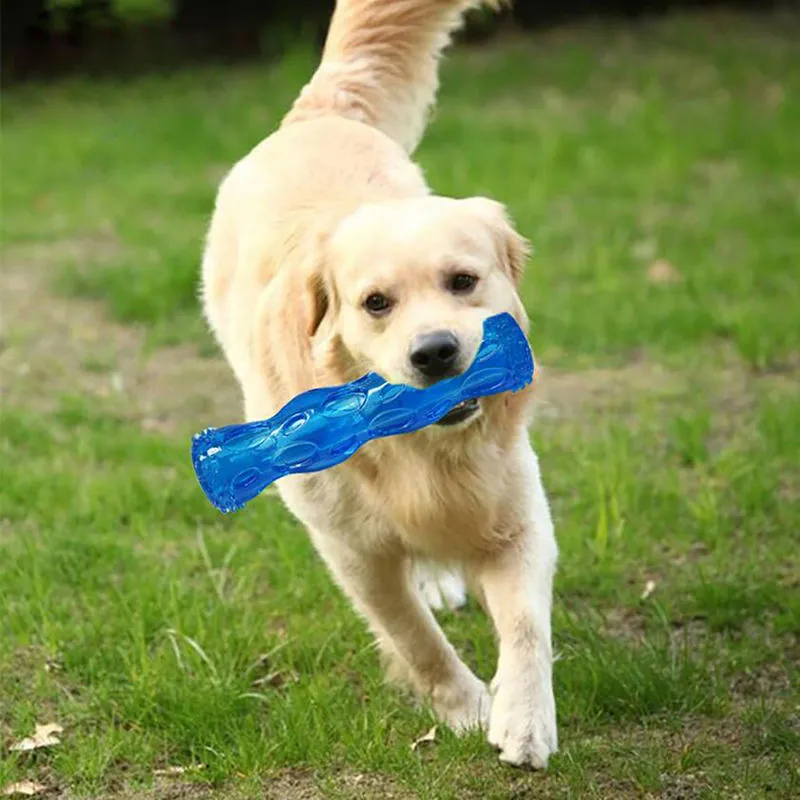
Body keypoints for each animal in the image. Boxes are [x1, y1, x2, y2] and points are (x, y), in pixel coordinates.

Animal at [203, 0, 560, 768]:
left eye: (463, 281)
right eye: (375, 303)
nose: (435, 352)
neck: (420, 450)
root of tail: (316, 114)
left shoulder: (517, 511)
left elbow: (525, 625)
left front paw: (523, 718)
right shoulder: (352, 549)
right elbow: (413, 635)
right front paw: (465, 706)